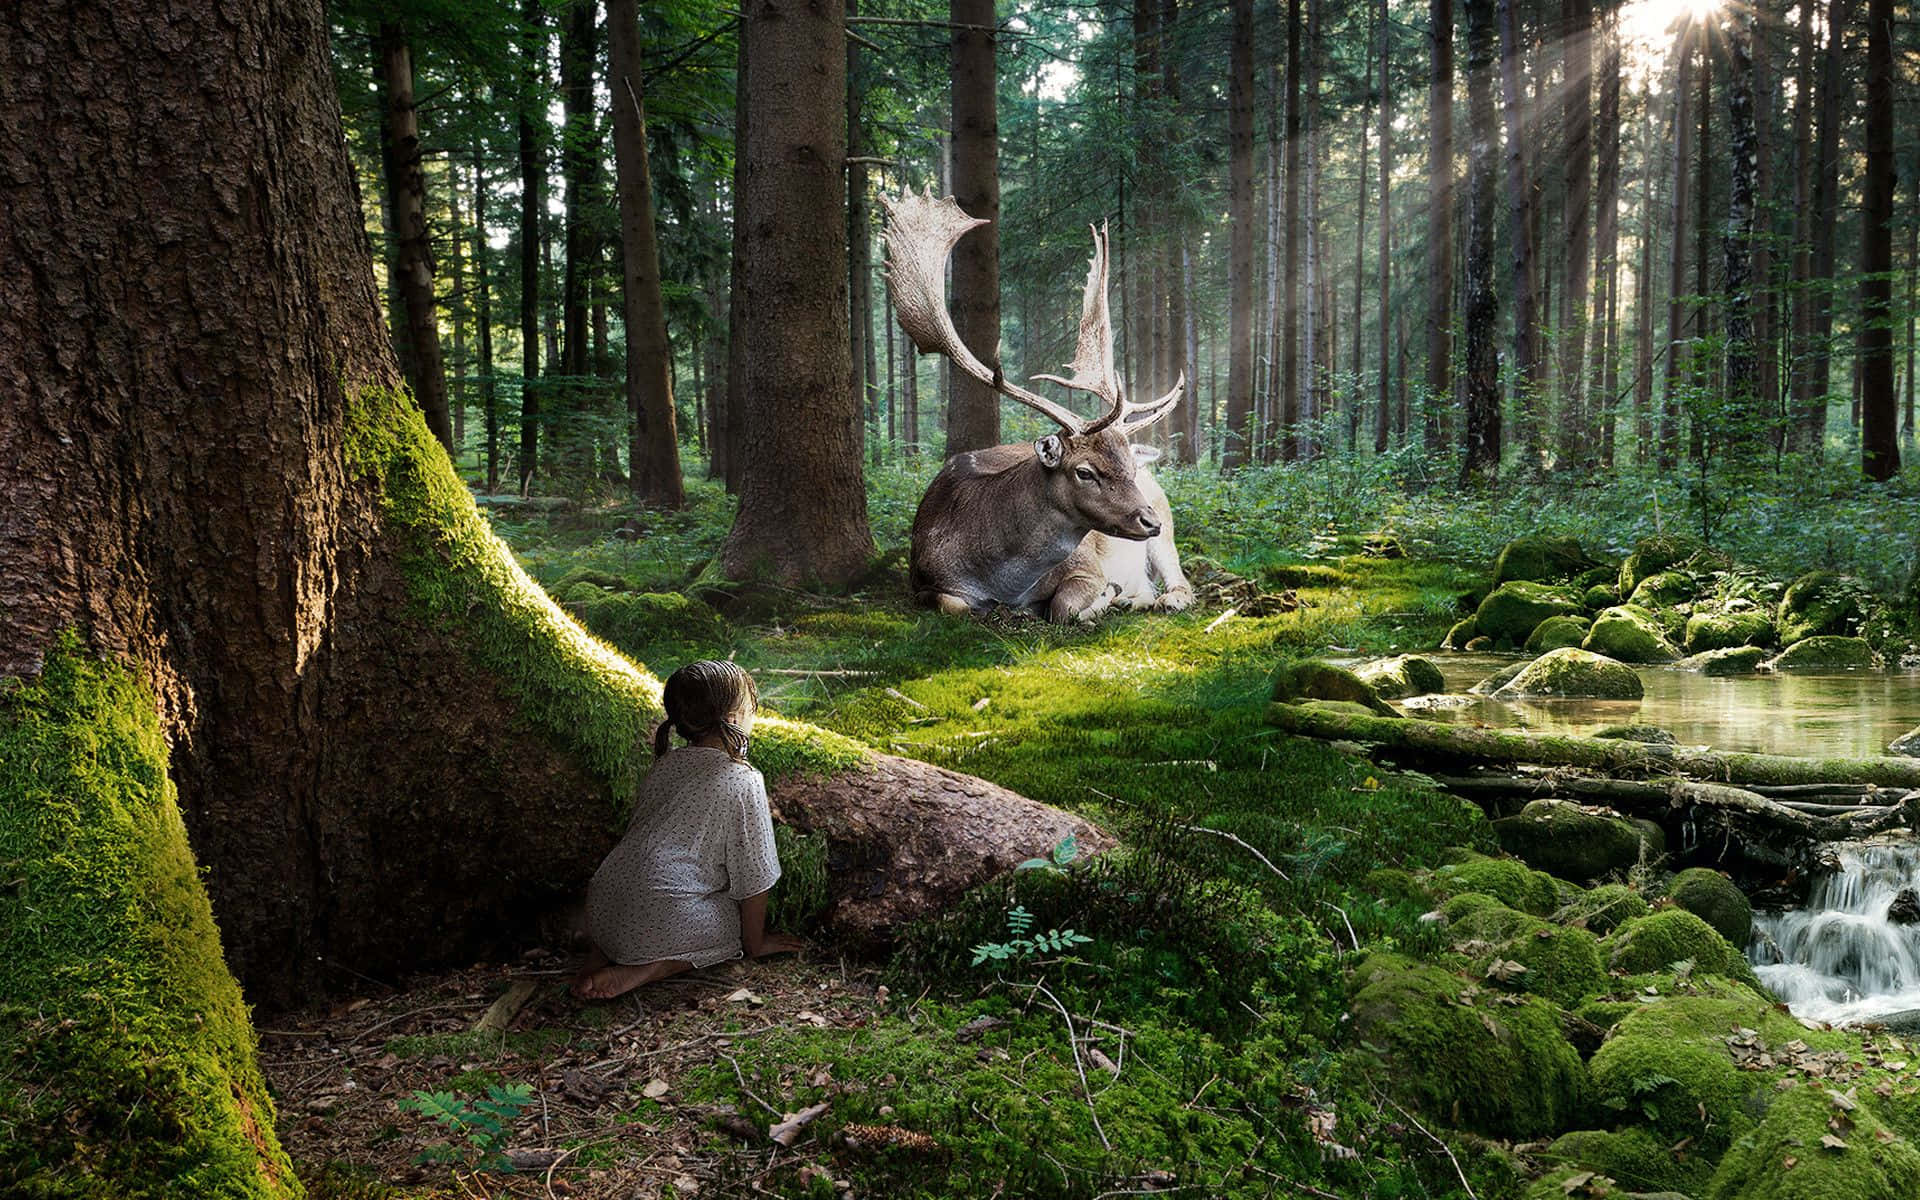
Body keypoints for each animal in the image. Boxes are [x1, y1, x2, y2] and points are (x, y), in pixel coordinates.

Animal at [879, 187, 1182, 622]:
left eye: (1129, 467)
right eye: (1085, 472)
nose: (1147, 520)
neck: (1001, 581)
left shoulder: (1087, 565)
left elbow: (1064, 606)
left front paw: (1100, 598)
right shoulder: (921, 578)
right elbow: (954, 605)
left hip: (1167, 525)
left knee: (1180, 580)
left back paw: (1162, 598)